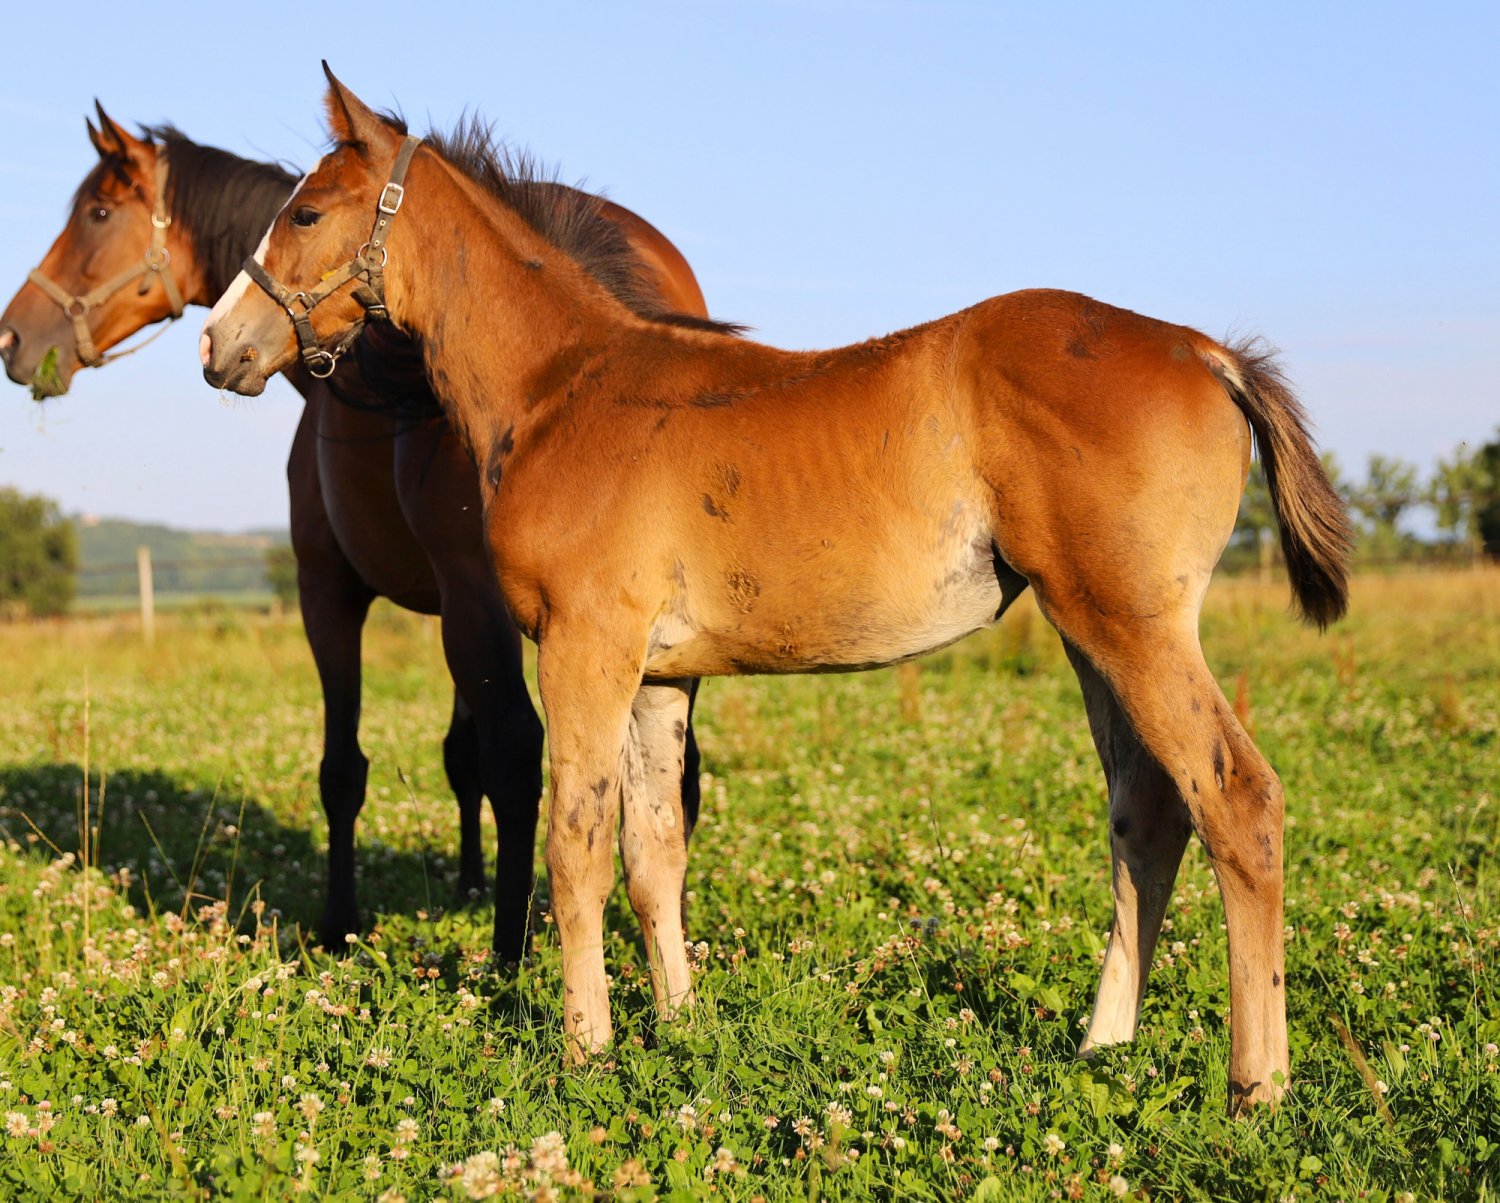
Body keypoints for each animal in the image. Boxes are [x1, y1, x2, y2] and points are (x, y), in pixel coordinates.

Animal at [0, 104, 723, 960]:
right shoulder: (457, 610)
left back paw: (508, 954)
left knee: (520, 752)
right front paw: (468, 882)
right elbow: (459, 757)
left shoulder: (333, 590)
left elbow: (345, 767)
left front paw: (340, 921)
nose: (12, 338)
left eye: (99, 213)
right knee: (671, 773)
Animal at [202, 68, 1352, 1111]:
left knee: (1237, 801)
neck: (564, 387)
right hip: (1091, 634)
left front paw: (585, 1050)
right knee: (1148, 811)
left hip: (1132, 627)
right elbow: (653, 850)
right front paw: (679, 1025)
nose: (219, 345)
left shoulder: (584, 646)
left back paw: (1257, 1085)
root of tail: (1203, 351)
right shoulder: (659, 676)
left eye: (306, 211)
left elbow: (576, 842)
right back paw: (1101, 1045)